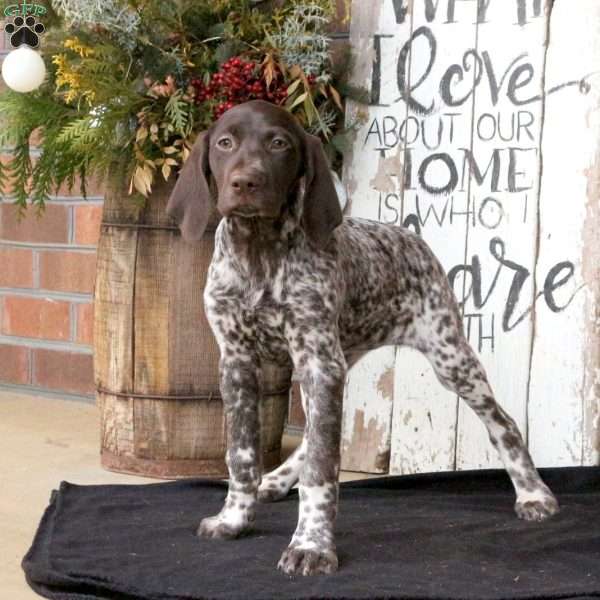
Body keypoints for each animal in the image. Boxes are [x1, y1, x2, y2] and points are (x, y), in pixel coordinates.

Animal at [166, 101, 560, 580]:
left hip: (448, 356)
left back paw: (533, 494)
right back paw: (274, 480)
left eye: (279, 144)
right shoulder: (237, 363)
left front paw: (311, 545)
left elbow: (321, 467)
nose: (246, 182)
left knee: (502, 422)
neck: (258, 253)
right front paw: (234, 519)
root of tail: (406, 234)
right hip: (337, 361)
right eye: (225, 143)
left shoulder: (319, 361)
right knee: (313, 432)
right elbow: (242, 455)